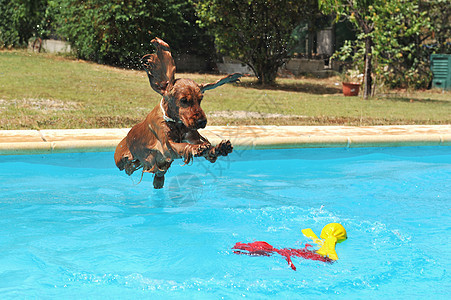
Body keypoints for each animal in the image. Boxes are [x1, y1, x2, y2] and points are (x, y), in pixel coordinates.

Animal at [115, 37, 242, 188]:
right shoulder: (167, 146)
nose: (202, 122)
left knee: (157, 174)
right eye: (184, 100)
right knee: (127, 166)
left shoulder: (193, 136)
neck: (176, 123)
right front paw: (196, 148)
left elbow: (208, 150)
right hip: (120, 158)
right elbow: (183, 146)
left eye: (200, 99)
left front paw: (220, 148)